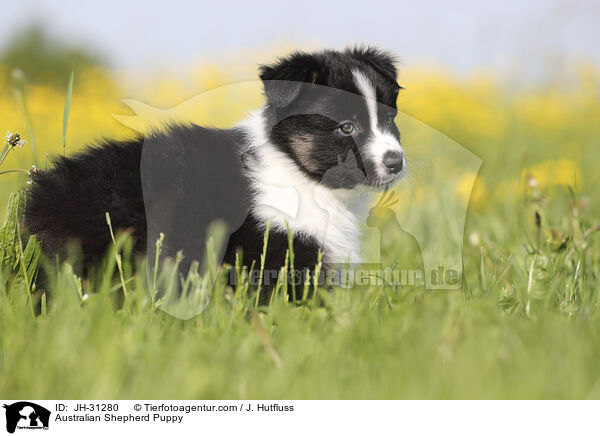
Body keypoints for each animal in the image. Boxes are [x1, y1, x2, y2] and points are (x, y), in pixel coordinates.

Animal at [25, 46, 406, 296]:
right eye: (346, 127)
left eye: (390, 118)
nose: (396, 162)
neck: (295, 168)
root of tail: (43, 193)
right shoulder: (276, 246)